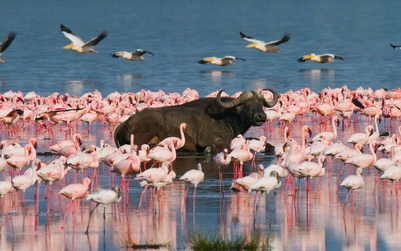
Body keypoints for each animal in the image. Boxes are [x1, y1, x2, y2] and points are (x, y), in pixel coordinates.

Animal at [112, 89, 276, 152]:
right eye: (247, 105)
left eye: (261, 104)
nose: (262, 116)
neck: (227, 116)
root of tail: (122, 125)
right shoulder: (212, 139)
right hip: (153, 121)